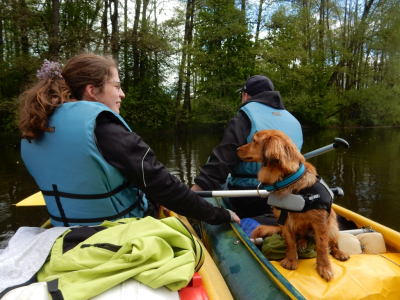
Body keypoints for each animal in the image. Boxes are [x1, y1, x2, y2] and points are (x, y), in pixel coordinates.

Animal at [238, 129, 350, 282]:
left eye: (254, 141)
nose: (236, 149)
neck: (289, 179)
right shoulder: (284, 220)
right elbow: (290, 242)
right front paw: (290, 260)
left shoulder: (320, 221)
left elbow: (322, 246)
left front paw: (325, 268)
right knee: (302, 237)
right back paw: (302, 243)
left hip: (332, 227)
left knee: (331, 244)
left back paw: (339, 252)